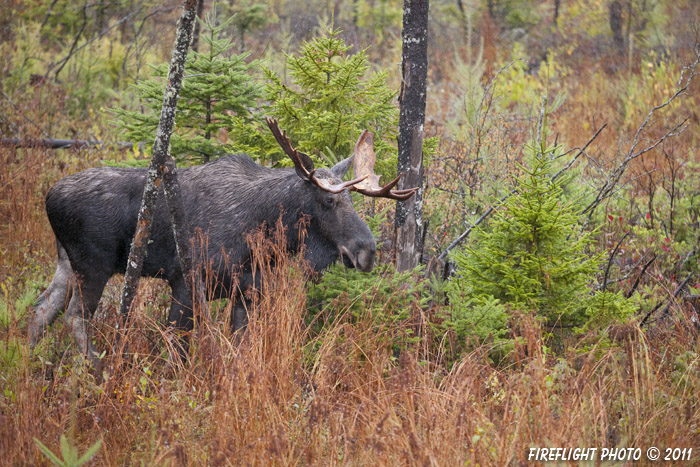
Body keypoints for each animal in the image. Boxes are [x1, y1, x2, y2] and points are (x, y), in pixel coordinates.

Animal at [28, 119, 416, 360]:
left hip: (65, 264)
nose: (367, 252)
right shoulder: (185, 282)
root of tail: (49, 196)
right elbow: (177, 350)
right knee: (75, 317)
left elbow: (239, 347)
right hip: (93, 266)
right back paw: (96, 371)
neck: (264, 232)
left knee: (41, 311)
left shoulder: (248, 291)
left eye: (352, 198)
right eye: (329, 200)